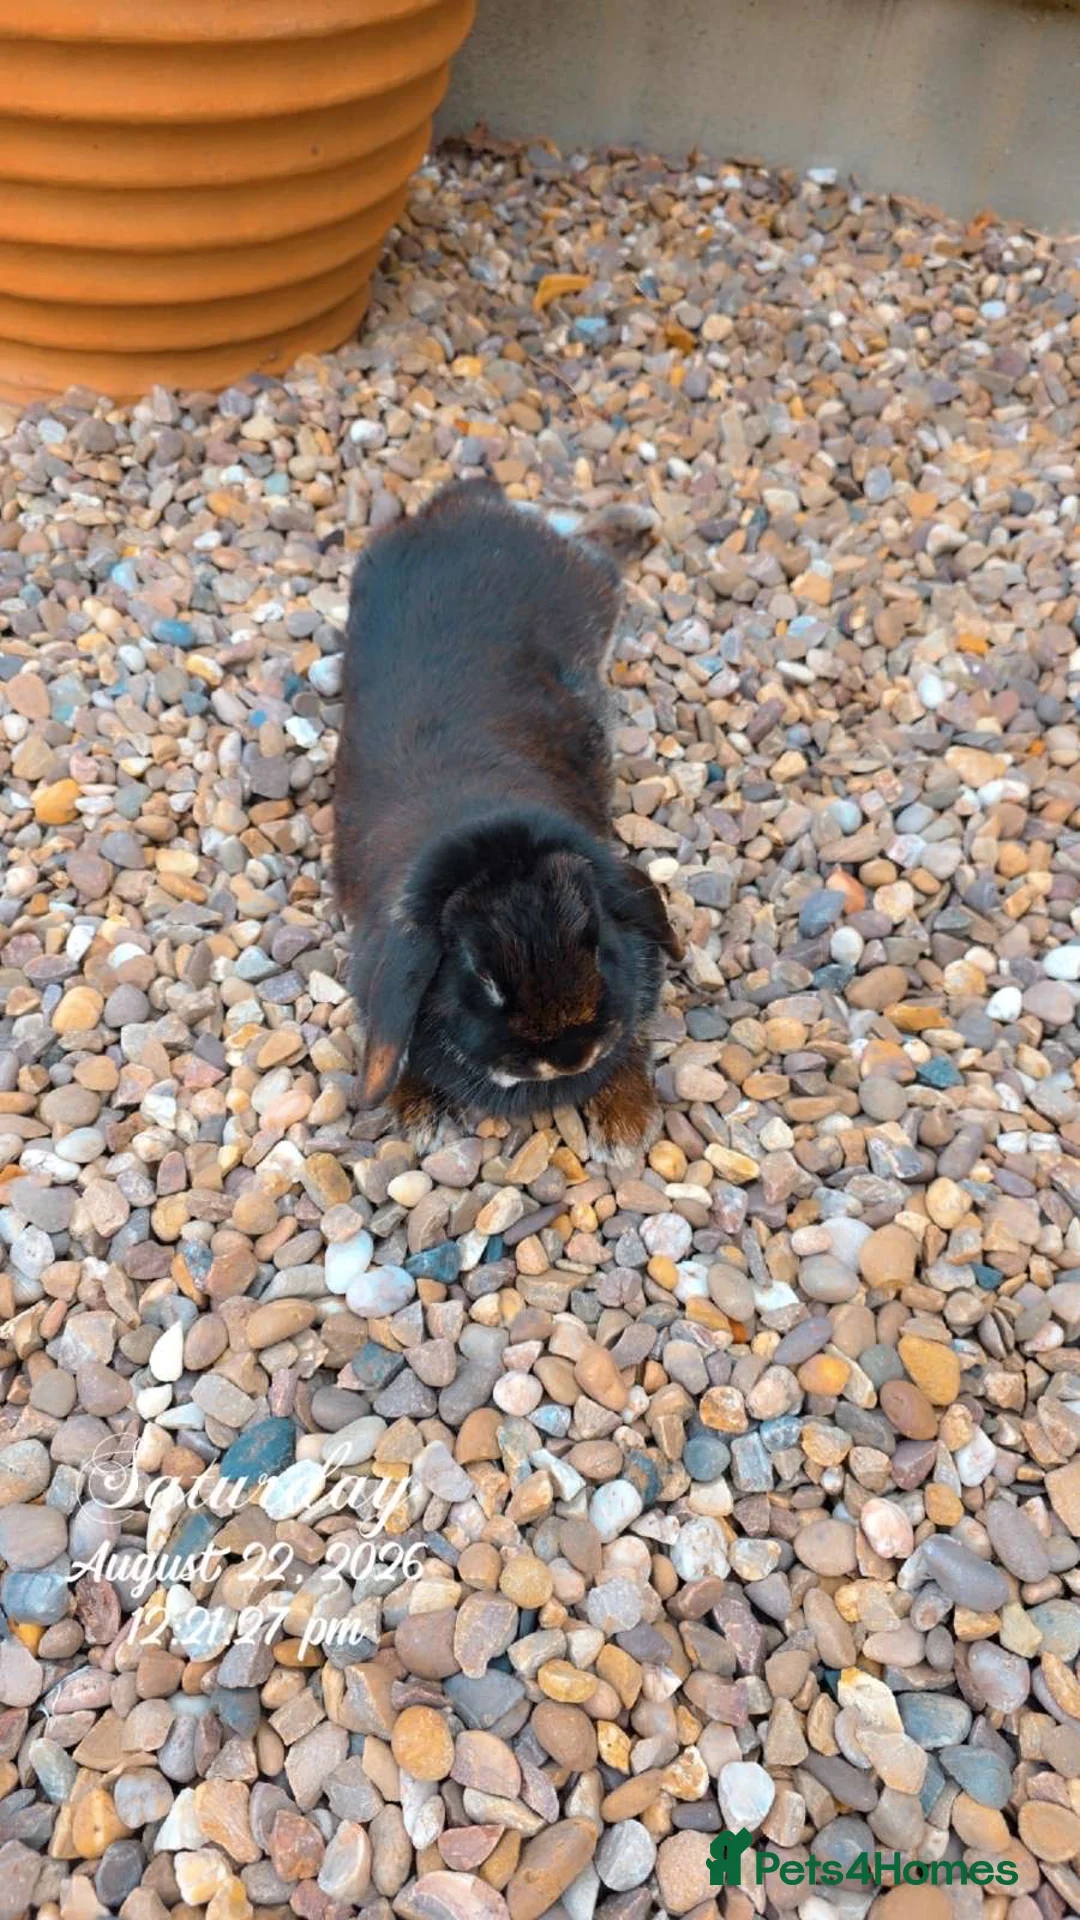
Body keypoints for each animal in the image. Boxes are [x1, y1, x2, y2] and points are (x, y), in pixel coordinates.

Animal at [333, 476, 679, 1163]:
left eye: (597, 942)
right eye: (480, 977)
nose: (571, 1055)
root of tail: (461, 510)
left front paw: (625, 1127)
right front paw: (418, 1113)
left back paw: (637, 522)